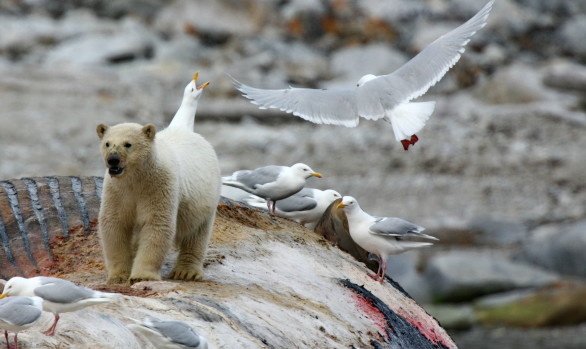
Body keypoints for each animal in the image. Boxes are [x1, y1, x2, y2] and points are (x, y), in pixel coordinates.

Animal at [96, 74, 219, 282]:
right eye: (107, 143)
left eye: (128, 144)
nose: (113, 160)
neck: (137, 177)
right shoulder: (116, 190)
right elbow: (114, 223)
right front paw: (119, 275)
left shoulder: (159, 185)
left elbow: (157, 224)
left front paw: (142, 276)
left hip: (205, 197)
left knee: (197, 233)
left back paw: (186, 271)